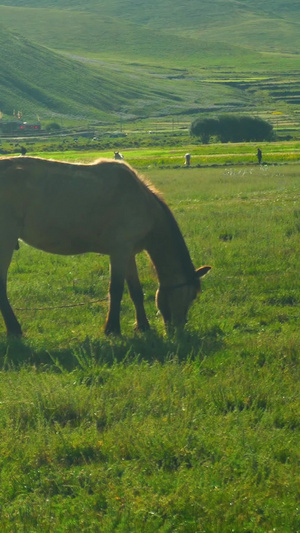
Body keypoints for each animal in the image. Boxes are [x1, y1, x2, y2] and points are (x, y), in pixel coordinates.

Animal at [0, 156, 211, 334]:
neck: (142, 202)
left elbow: (136, 291)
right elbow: (116, 290)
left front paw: (143, 326)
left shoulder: (129, 254)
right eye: (192, 296)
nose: (178, 329)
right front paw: (112, 329)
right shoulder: (119, 252)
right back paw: (14, 329)